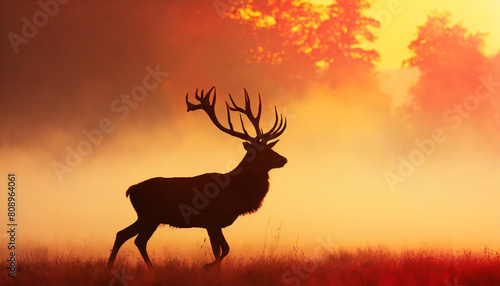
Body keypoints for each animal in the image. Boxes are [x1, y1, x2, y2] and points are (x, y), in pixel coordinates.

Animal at [105, 86, 288, 270]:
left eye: (270, 148)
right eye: (261, 152)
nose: (283, 159)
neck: (234, 194)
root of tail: (131, 189)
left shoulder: (214, 224)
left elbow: (224, 249)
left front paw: (211, 267)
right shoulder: (211, 221)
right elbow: (221, 250)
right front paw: (208, 266)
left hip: (150, 218)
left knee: (131, 237)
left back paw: (145, 269)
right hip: (148, 215)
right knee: (129, 236)